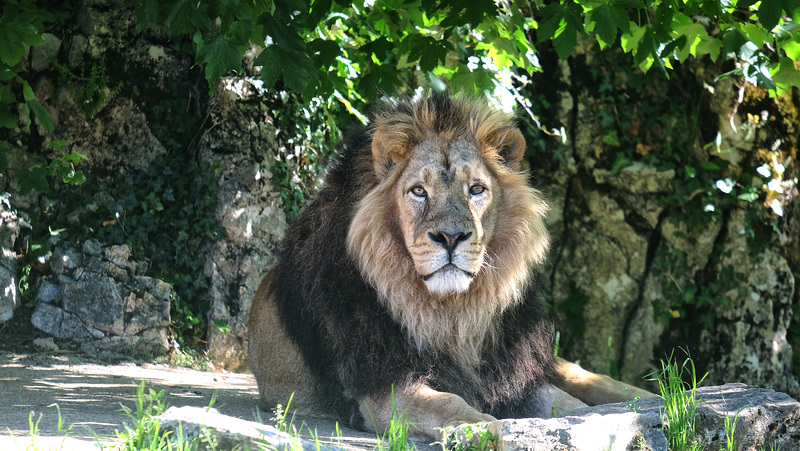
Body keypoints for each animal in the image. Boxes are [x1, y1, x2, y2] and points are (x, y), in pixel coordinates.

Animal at [247, 92, 652, 442]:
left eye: (476, 189)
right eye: (418, 191)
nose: (452, 236)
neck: (453, 313)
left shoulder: (515, 373)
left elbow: (567, 403)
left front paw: (600, 423)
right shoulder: (385, 387)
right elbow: (451, 405)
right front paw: (493, 430)